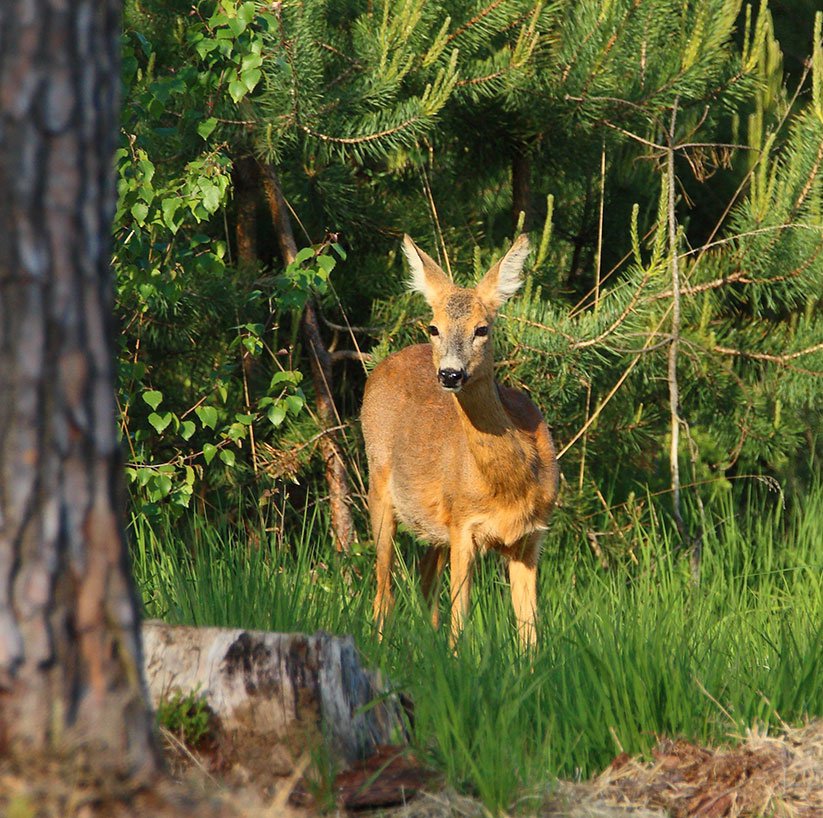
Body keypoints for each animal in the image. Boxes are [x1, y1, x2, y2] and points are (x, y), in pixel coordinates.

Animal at [362, 233, 560, 648]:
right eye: (434, 328)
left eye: (482, 329)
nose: (450, 374)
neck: (507, 486)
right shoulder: (463, 525)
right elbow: (461, 622)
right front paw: (457, 659)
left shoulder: (532, 536)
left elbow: (530, 634)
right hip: (379, 485)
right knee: (384, 589)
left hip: (435, 529)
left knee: (424, 581)